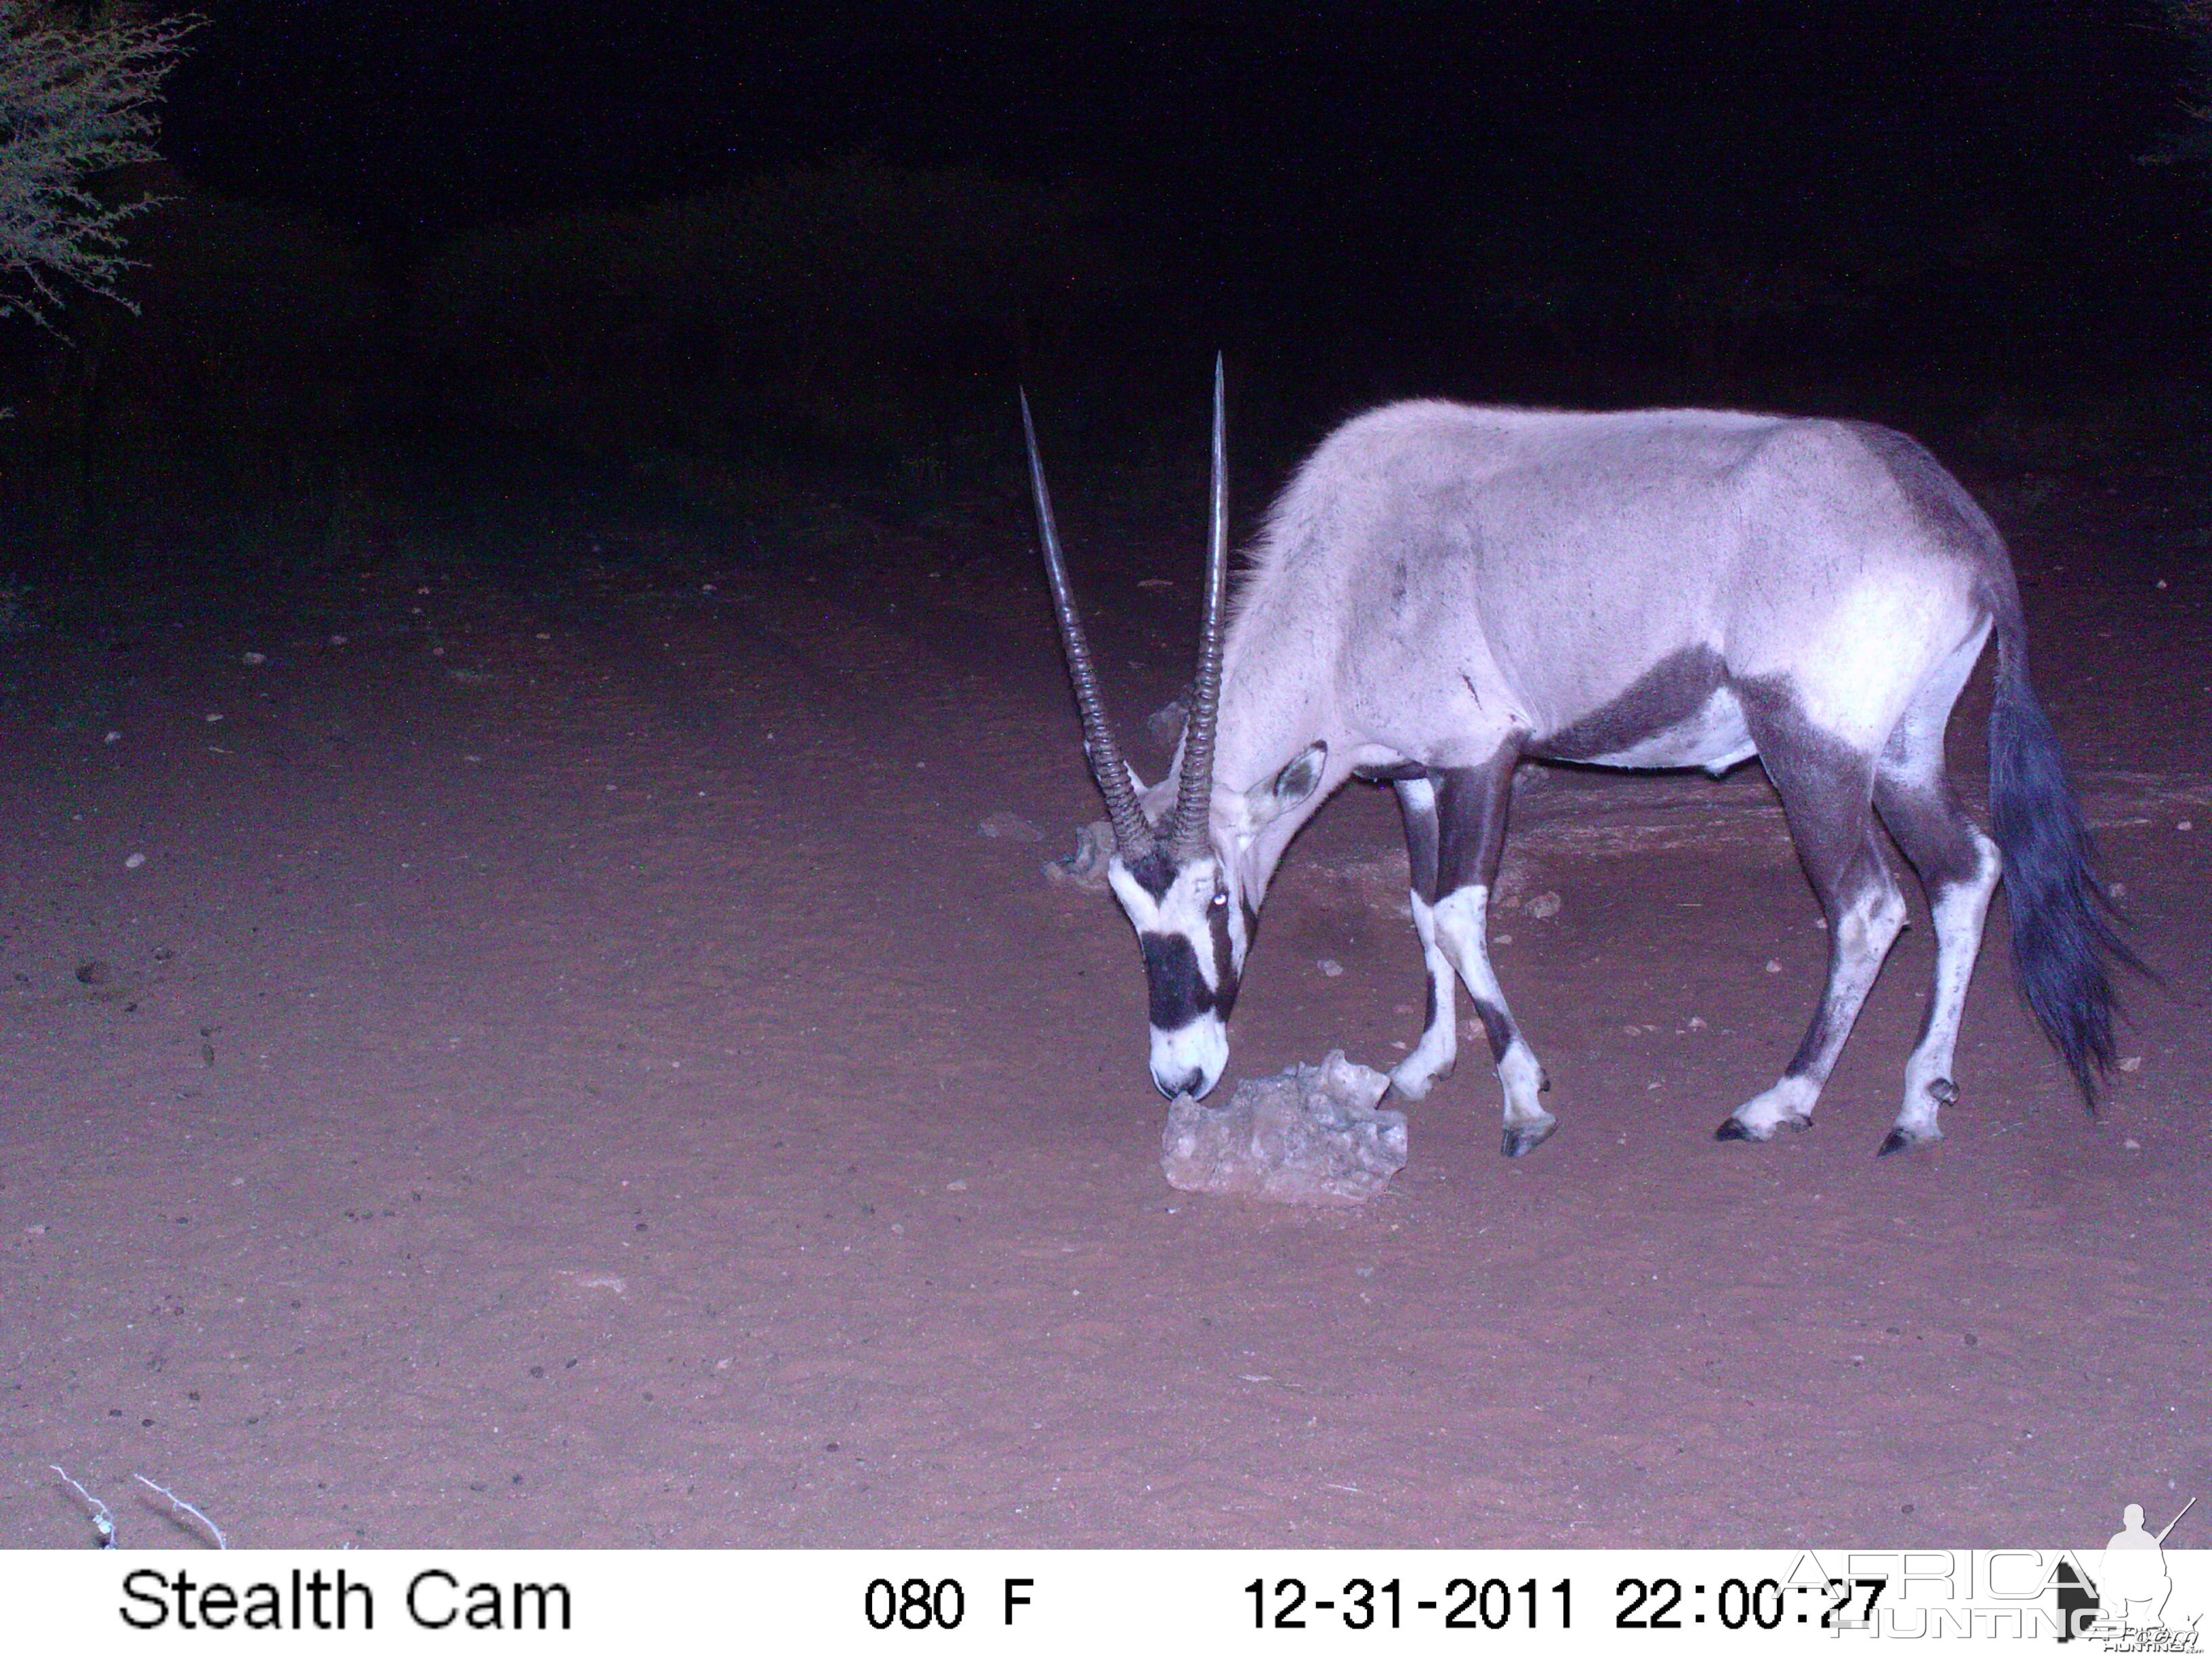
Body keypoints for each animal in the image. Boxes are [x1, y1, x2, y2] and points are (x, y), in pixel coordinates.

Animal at [1026, 367, 2132, 1159]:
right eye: (1127, 908)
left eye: (1216, 897)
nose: (1182, 1078)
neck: (1353, 574)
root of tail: (1953, 519)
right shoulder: (1416, 772)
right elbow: (1420, 905)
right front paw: (1420, 1065)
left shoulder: (1484, 758)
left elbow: (1460, 912)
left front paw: (1524, 1102)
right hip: (1900, 755)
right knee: (1965, 873)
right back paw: (1918, 1103)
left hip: (1814, 757)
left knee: (1868, 907)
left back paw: (1780, 1100)